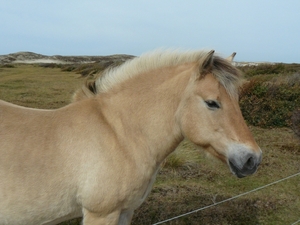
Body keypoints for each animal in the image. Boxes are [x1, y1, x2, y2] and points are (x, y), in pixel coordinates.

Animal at [0, 49, 262, 225]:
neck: (119, 134)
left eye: (237, 100)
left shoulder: (126, 211)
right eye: (212, 103)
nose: (253, 159)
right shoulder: (101, 214)